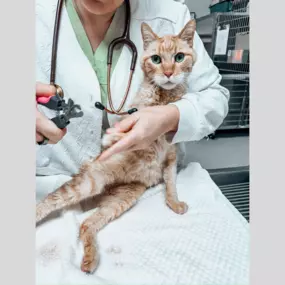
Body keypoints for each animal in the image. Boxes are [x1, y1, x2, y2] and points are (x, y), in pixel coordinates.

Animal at [35, 18, 196, 272]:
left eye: (179, 57)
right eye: (156, 59)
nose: (169, 72)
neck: (164, 98)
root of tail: (105, 188)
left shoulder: (171, 156)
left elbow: (171, 182)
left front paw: (174, 202)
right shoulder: (133, 116)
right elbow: (123, 128)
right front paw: (111, 138)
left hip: (122, 199)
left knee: (87, 223)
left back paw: (90, 260)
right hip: (86, 184)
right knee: (48, 202)